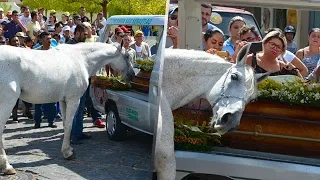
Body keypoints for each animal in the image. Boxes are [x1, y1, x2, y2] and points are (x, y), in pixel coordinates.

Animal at [0, 41, 134, 174]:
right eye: (127, 56)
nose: (132, 75)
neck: (81, 58)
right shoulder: (73, 100)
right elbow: (69, 125)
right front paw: (68, 153)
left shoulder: (63, 101)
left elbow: (65, 124)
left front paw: (68, 148)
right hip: (7, 102)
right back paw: (7, 166)